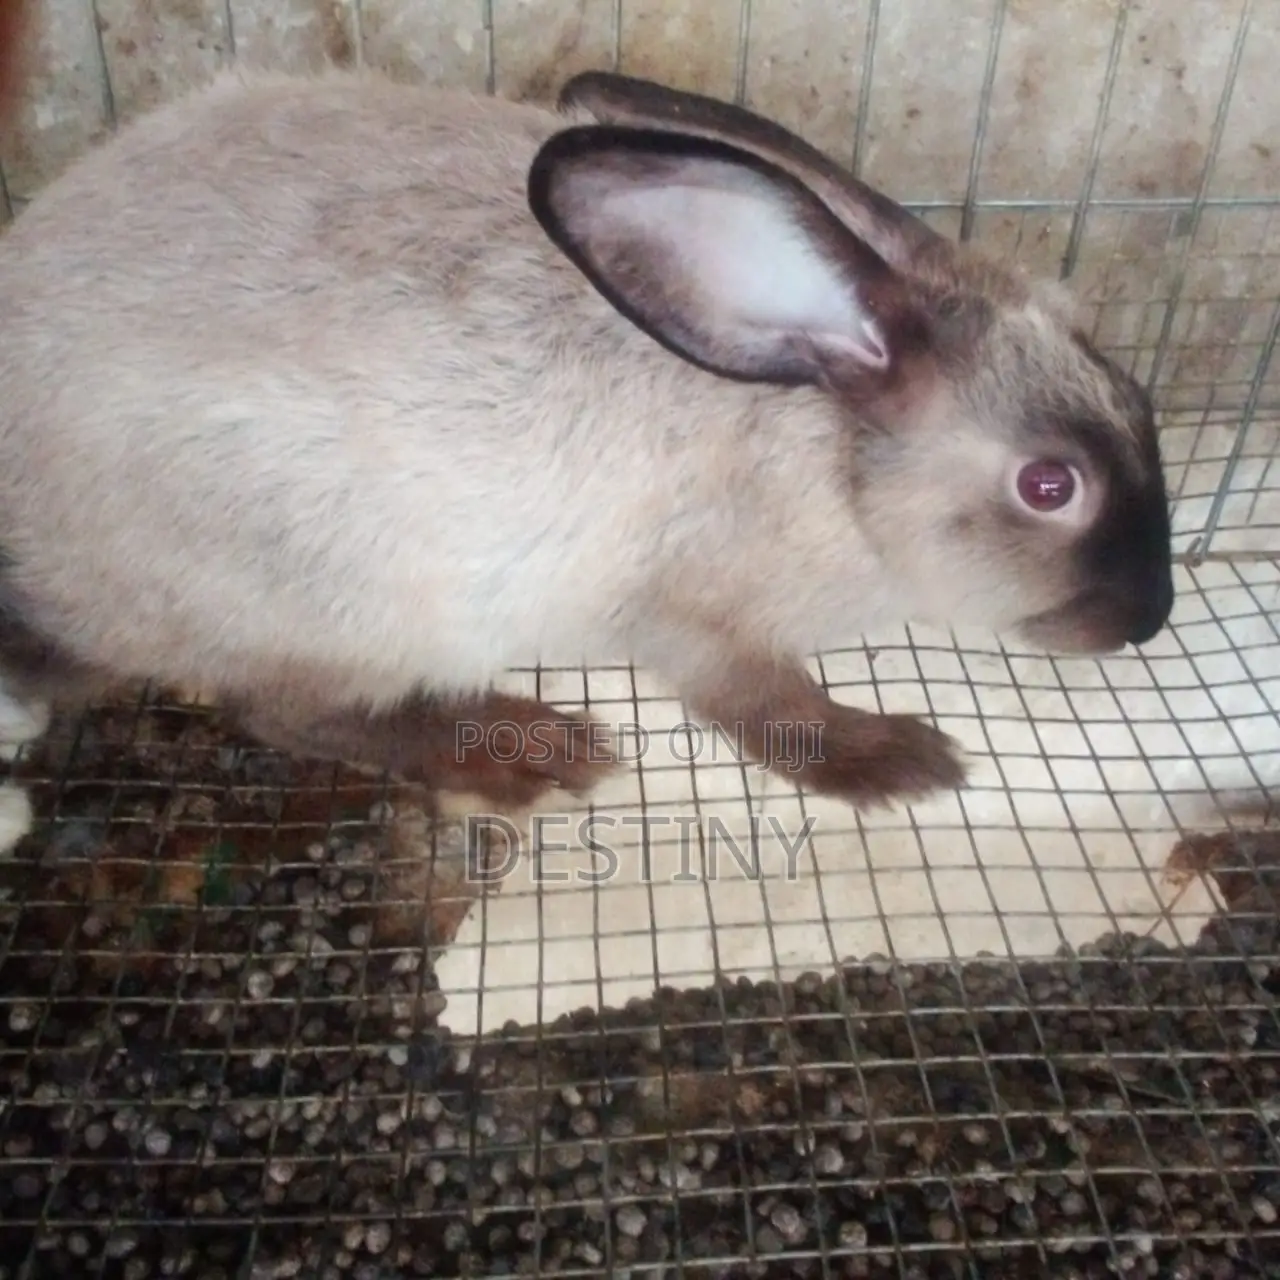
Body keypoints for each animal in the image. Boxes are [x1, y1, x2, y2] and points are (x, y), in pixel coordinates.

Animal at [0, 26, 1174, 814]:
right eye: (1048, 485)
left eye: (1138, 397)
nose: (1147, 620)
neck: (837, 457)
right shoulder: (696, 619)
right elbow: (766, 707)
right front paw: (895, 760)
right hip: (336, 600)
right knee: (285, 710)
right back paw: (523, 751)